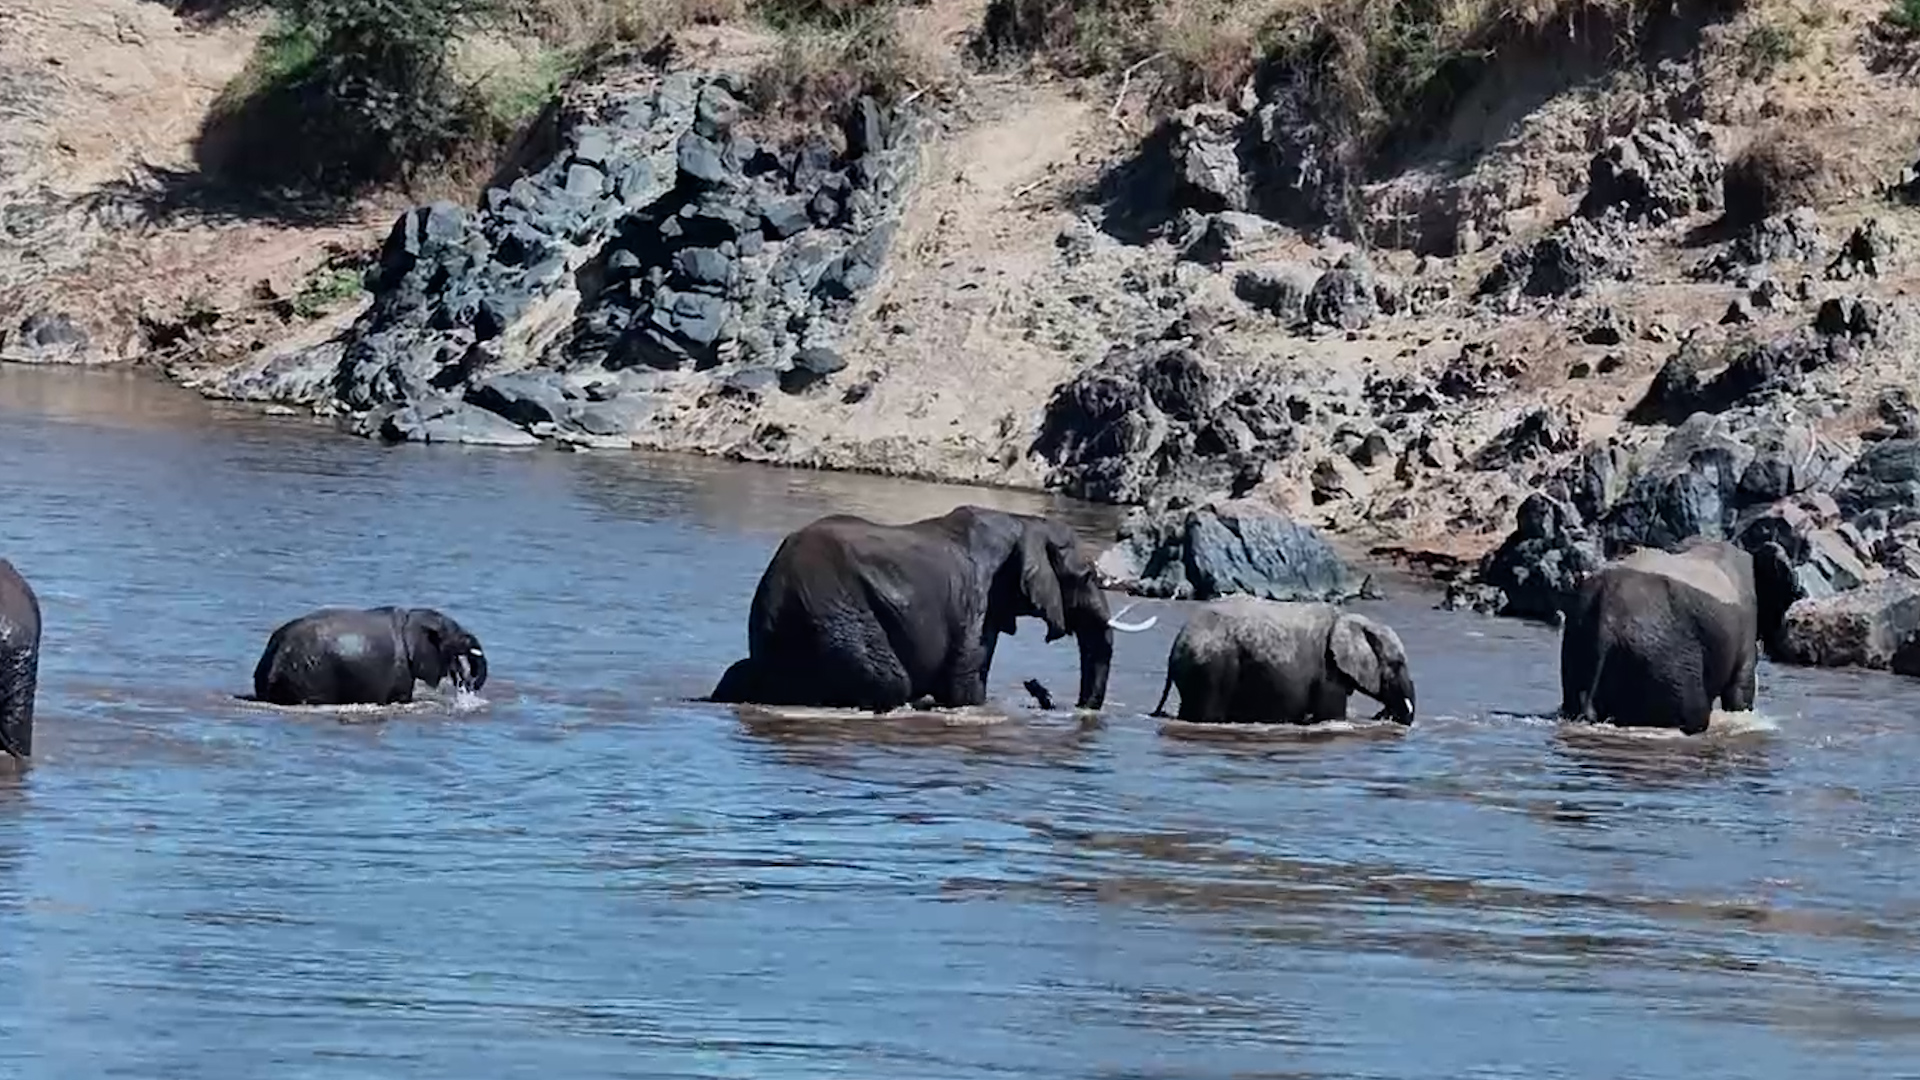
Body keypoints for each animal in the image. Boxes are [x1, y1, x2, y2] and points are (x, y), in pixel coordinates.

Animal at [707, 505, 1157, 712]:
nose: (1045, 695)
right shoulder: (977, 598)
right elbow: (964, 685)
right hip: (832, 605)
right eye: (1087, 576)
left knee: (739, 673)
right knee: (888, 683)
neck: (1025, 523)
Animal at [1150, 598, 1417, 725]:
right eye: (1397, 664)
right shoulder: (1327, 668)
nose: (1385, 715)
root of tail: (1178, 640)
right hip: (1210, 667)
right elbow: (1329, 715)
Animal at [1557, 537, 1797, 735]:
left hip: (1578, 643)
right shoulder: (1746, 624)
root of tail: (1605, 623)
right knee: (1694, 715)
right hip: (1659, 656)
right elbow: (1740, 692)